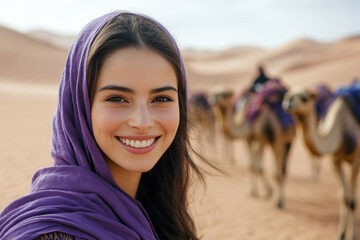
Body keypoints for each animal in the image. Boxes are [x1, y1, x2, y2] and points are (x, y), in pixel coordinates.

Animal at [284, 86, 360, 240]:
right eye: (288, 94)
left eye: (305, 98)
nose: (289, 101)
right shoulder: (335, 161)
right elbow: (344, 197)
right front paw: (341, 234)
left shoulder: (355, 160)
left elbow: (352, 201)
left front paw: (353, 236)